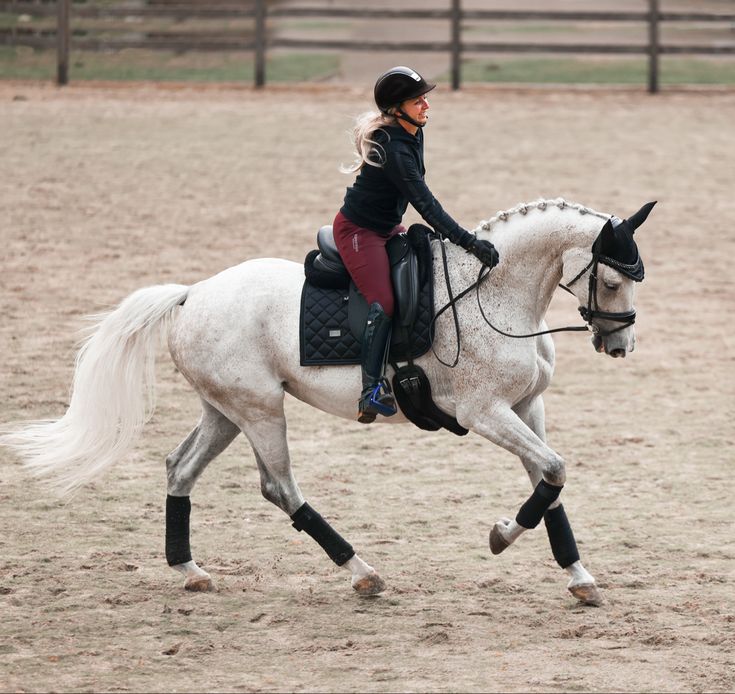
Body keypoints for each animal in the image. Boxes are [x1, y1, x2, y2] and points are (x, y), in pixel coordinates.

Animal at [0, 198, 655, 607]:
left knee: (180, 468)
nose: (619, 344)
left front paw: (580, 578)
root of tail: (192, 294)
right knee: (280, 488)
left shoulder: (524, 410)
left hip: (225, 412)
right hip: (260, 410)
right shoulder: (485, 413)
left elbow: (549, 483)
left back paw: (190, 571)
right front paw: (500, 535)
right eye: (612, 280)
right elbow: (552, 471)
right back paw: (362, 573)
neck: (494, 294)